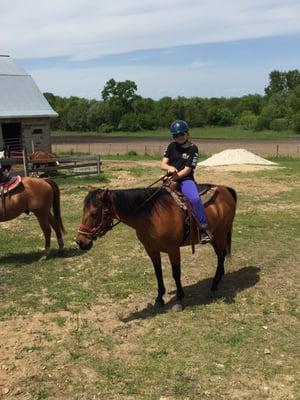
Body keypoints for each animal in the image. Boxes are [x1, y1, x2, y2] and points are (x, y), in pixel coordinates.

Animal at [77, 186, 237, 310]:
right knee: (221, 254)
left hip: (221, 234)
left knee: (221, 255)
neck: (151, 216)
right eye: (83, 211)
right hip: (215, 237)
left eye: (93, 213)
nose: (80, 241)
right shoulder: (151, 249)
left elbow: (176, 273)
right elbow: (158, 273)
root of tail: (226, 189)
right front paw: (159, 298)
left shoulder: (173, 249)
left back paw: (214, 286)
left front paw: (179, 300)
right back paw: (219, 278)